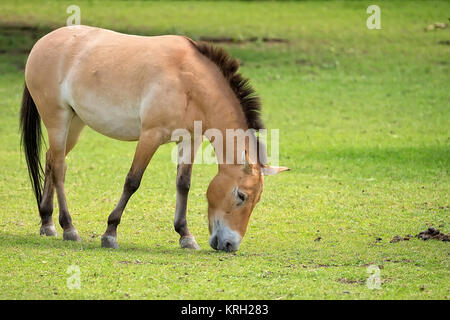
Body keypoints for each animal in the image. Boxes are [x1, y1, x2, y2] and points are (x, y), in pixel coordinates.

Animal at [20, 25, 288, 252]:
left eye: (256, 200)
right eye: (241, 196)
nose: (230, 245)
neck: (188, 81)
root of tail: (43, 42)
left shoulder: (190, 140)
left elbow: (183, 184)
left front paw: (185, 236)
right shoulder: (150, 136)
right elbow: (132, 181)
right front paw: (110, 233)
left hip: (74, 125)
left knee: (51, 159)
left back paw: (47, 223)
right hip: (57, 120)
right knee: (60, 168)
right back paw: (68, 228)